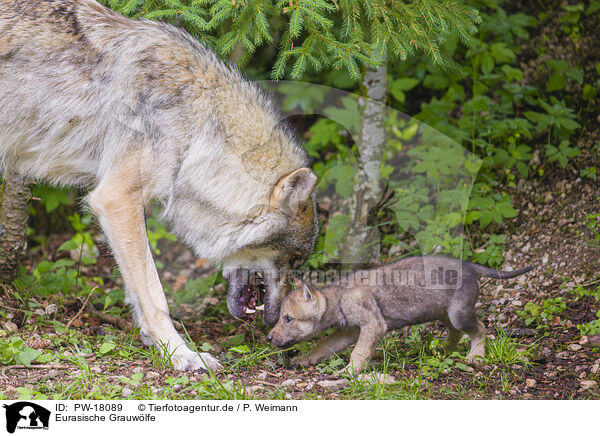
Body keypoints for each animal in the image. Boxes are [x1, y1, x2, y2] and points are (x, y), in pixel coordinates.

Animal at [0, 0, 318, 372]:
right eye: (293, 259)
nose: (278, 319)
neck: (199, 123)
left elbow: (137, 293)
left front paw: (156, 344)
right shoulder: (116, 200)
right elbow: (155, 296)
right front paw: (181, 353)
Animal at [270, 258, 532, 372]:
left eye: (288, 318)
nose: (269, 338)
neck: (340, 298)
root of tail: (469, 265)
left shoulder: (373, 326)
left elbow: (358, 354)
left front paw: (349, 373)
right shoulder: (348, 332)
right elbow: (322, 346)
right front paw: (304, 359)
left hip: (458, 313)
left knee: (480, 328)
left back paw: (476, 356)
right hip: (443, 313)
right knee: (456, 332)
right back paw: (445, 351)